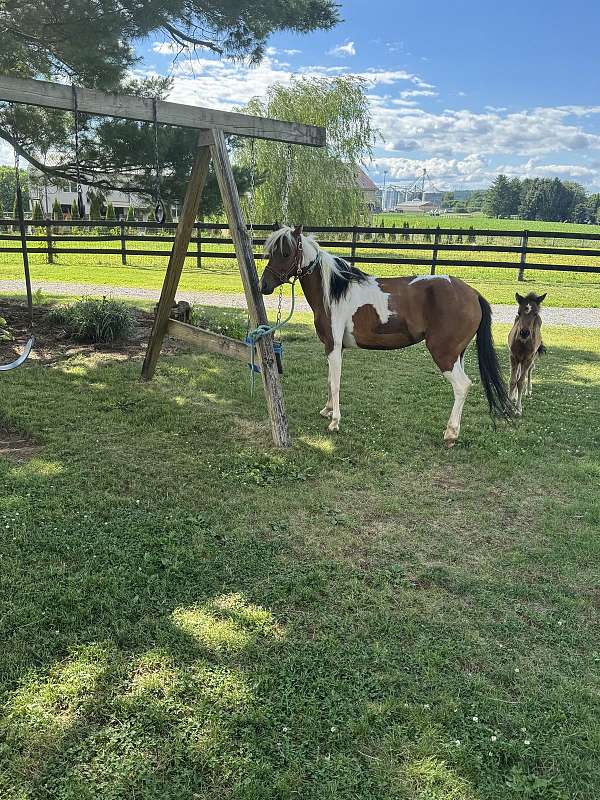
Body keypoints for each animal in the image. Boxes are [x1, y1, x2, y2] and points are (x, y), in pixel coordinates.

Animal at [260, 225, 513, 446]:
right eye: (271, 252)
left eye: (285, 252)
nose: (264, 285)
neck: (334, 291)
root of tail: (473, 293)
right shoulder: (334, 347)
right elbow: (331, 380)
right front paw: (327, 410)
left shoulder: (333, 345)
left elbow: (336, 383)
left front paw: (334, 422)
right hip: (457, 355)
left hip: (444, 354)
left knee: (462, 386)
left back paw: (450, 435)